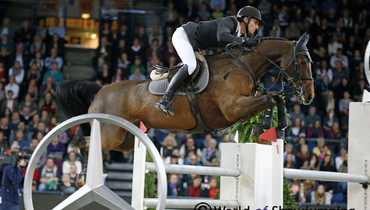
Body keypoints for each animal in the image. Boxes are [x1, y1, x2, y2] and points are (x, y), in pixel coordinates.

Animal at [57, 33, 316, 174]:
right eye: (303, 62)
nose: (310, 96)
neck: (244, 66)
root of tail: (101, 90)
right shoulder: (233, 109)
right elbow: (270, 97)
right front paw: (263, 125)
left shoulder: (240, 111)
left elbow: (275, 97)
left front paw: (278, 125)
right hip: (111, 132)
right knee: (85, 143)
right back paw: (84, 175)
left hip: (125, 139)